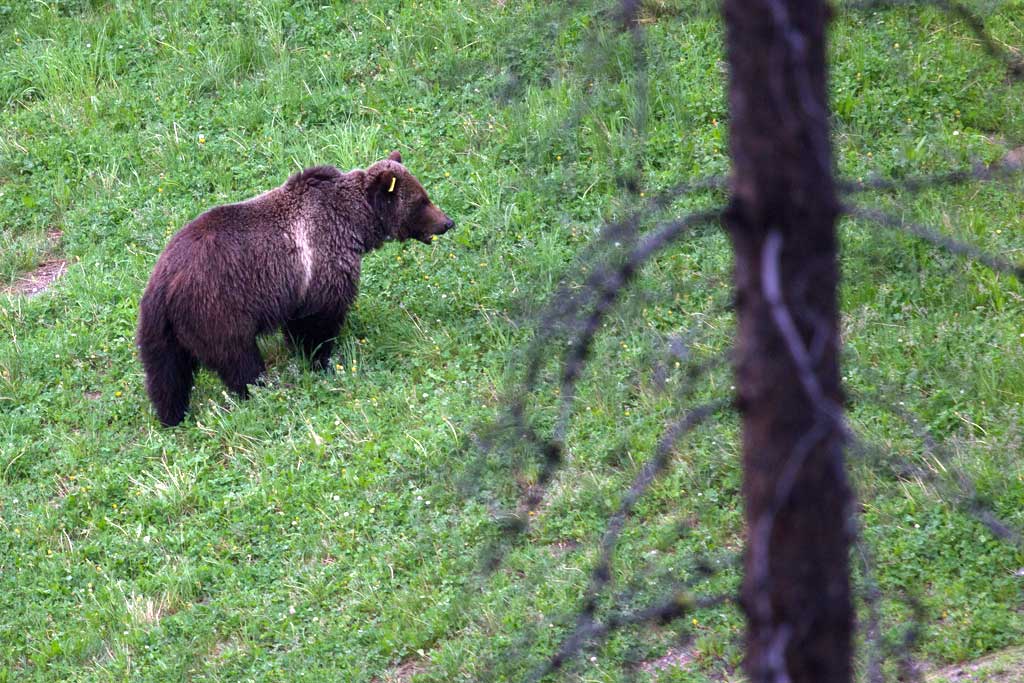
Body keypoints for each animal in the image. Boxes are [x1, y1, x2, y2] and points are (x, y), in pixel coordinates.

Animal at [136, 150, 454, 426]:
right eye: (422, 201)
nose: (447, 222)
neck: (355, 224)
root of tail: (164, 284)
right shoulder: (318, 265)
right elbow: (316, 322)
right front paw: (320, 361)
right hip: (217, 308)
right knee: (238, 358)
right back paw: (259, 389)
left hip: (161, 329)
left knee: (166, 374)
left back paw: (172, 415)